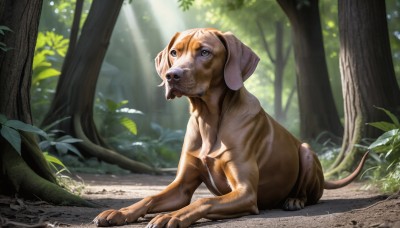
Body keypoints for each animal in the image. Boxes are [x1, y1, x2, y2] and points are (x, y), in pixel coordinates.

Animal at [94, 28, 368, 228]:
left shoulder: (246, 192)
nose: (172, 75)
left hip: (307, 151)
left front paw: (173, 216)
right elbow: (151, 197)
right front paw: (121, 211)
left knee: (308, 190)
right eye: (174, 52)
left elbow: (204, 202)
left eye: (205, 52)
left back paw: (294, 200)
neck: (208, 119)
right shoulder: (182, 187)